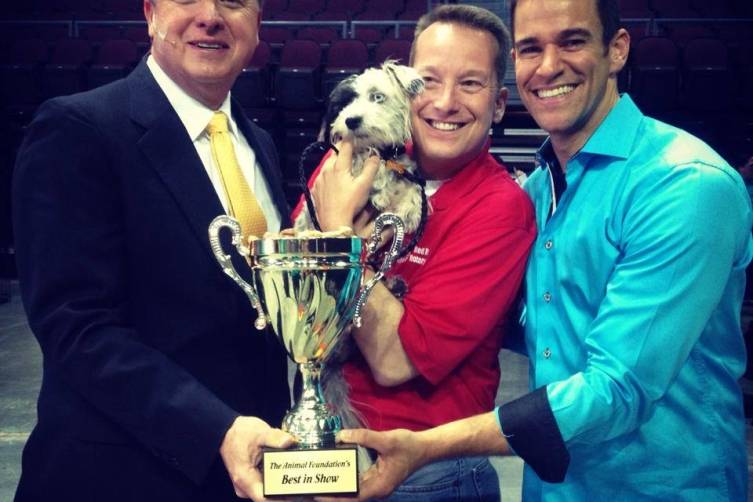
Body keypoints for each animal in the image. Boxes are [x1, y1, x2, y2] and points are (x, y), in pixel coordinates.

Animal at [292, 60, 424, 235]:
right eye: (345, 103)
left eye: (378, 97)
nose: (351, 120)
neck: (384, 154)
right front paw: (380, 189)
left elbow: (414, 186)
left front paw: (411, 208)